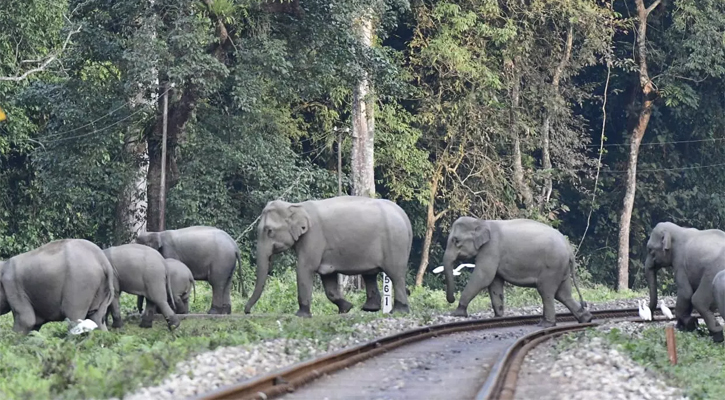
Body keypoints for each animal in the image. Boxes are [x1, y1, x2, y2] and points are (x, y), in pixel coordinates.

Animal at [245, 195, 410, 318]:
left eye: (269, 231)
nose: (247, 311)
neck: (296, 206)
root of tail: (404, 216)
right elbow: (327, 277)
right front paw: (346, 308)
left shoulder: (313, 237)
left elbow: (305, 268)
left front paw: (301, 315)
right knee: (370, 275)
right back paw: (370, 309)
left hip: (395, 243)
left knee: (395, 275)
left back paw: (398, 311)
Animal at [438, 217, 592, 326]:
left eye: (456, 241)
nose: (451, 300)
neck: (482, 222)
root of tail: (569, 249)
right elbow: (495, 282)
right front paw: (498, 317)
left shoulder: (491, 249)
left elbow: (484, 277)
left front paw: (457, 313)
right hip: (561, 268)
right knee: (563, 294)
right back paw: (586, 319)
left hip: (552, 267)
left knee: (546, 292)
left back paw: (545, 324)